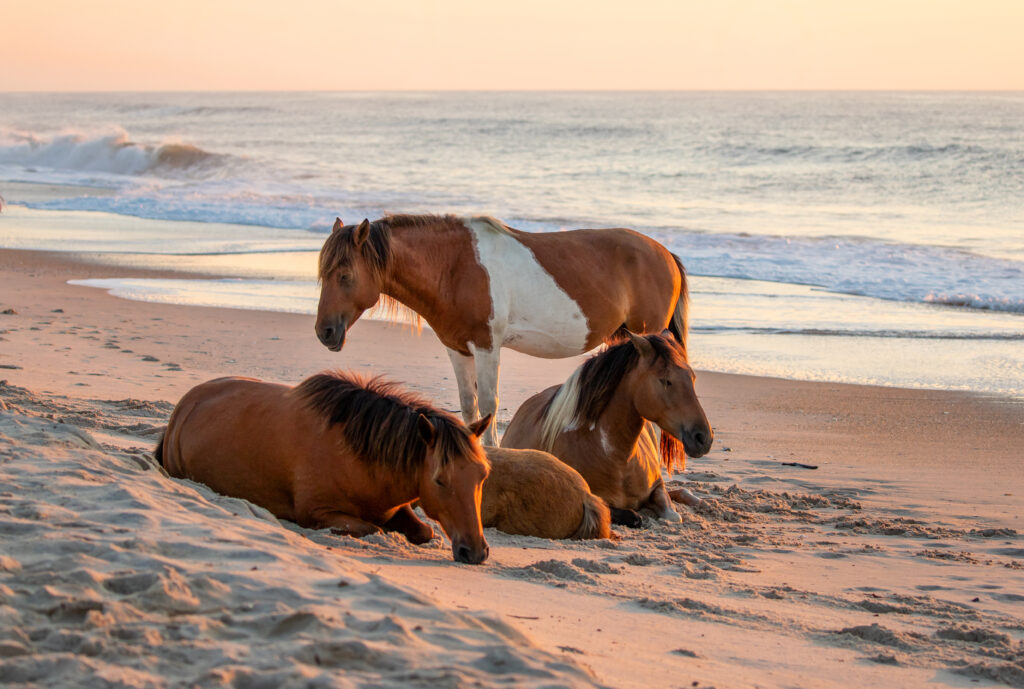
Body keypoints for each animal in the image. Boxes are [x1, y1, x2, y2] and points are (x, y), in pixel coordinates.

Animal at [157, 370, 493, 565]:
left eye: (483, 476)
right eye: (439, 481)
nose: (475, 551)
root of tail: (184, 407)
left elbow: (424, 530)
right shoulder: (317, 513)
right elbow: (371, 528)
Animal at [315, 211, 692, 444]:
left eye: (345, 275)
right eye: (323, 274)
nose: (325, 332)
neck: (454, 267)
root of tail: (665, 254)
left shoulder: (487, 347)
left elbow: (488, 405)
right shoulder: (457, 348)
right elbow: (468, 405)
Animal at [497, 329, 708, 524]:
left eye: (692, 377)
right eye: (665, 380)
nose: (703, 438)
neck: (618, 458)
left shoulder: (657, 486)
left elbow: (672, 514)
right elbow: (632, 515)